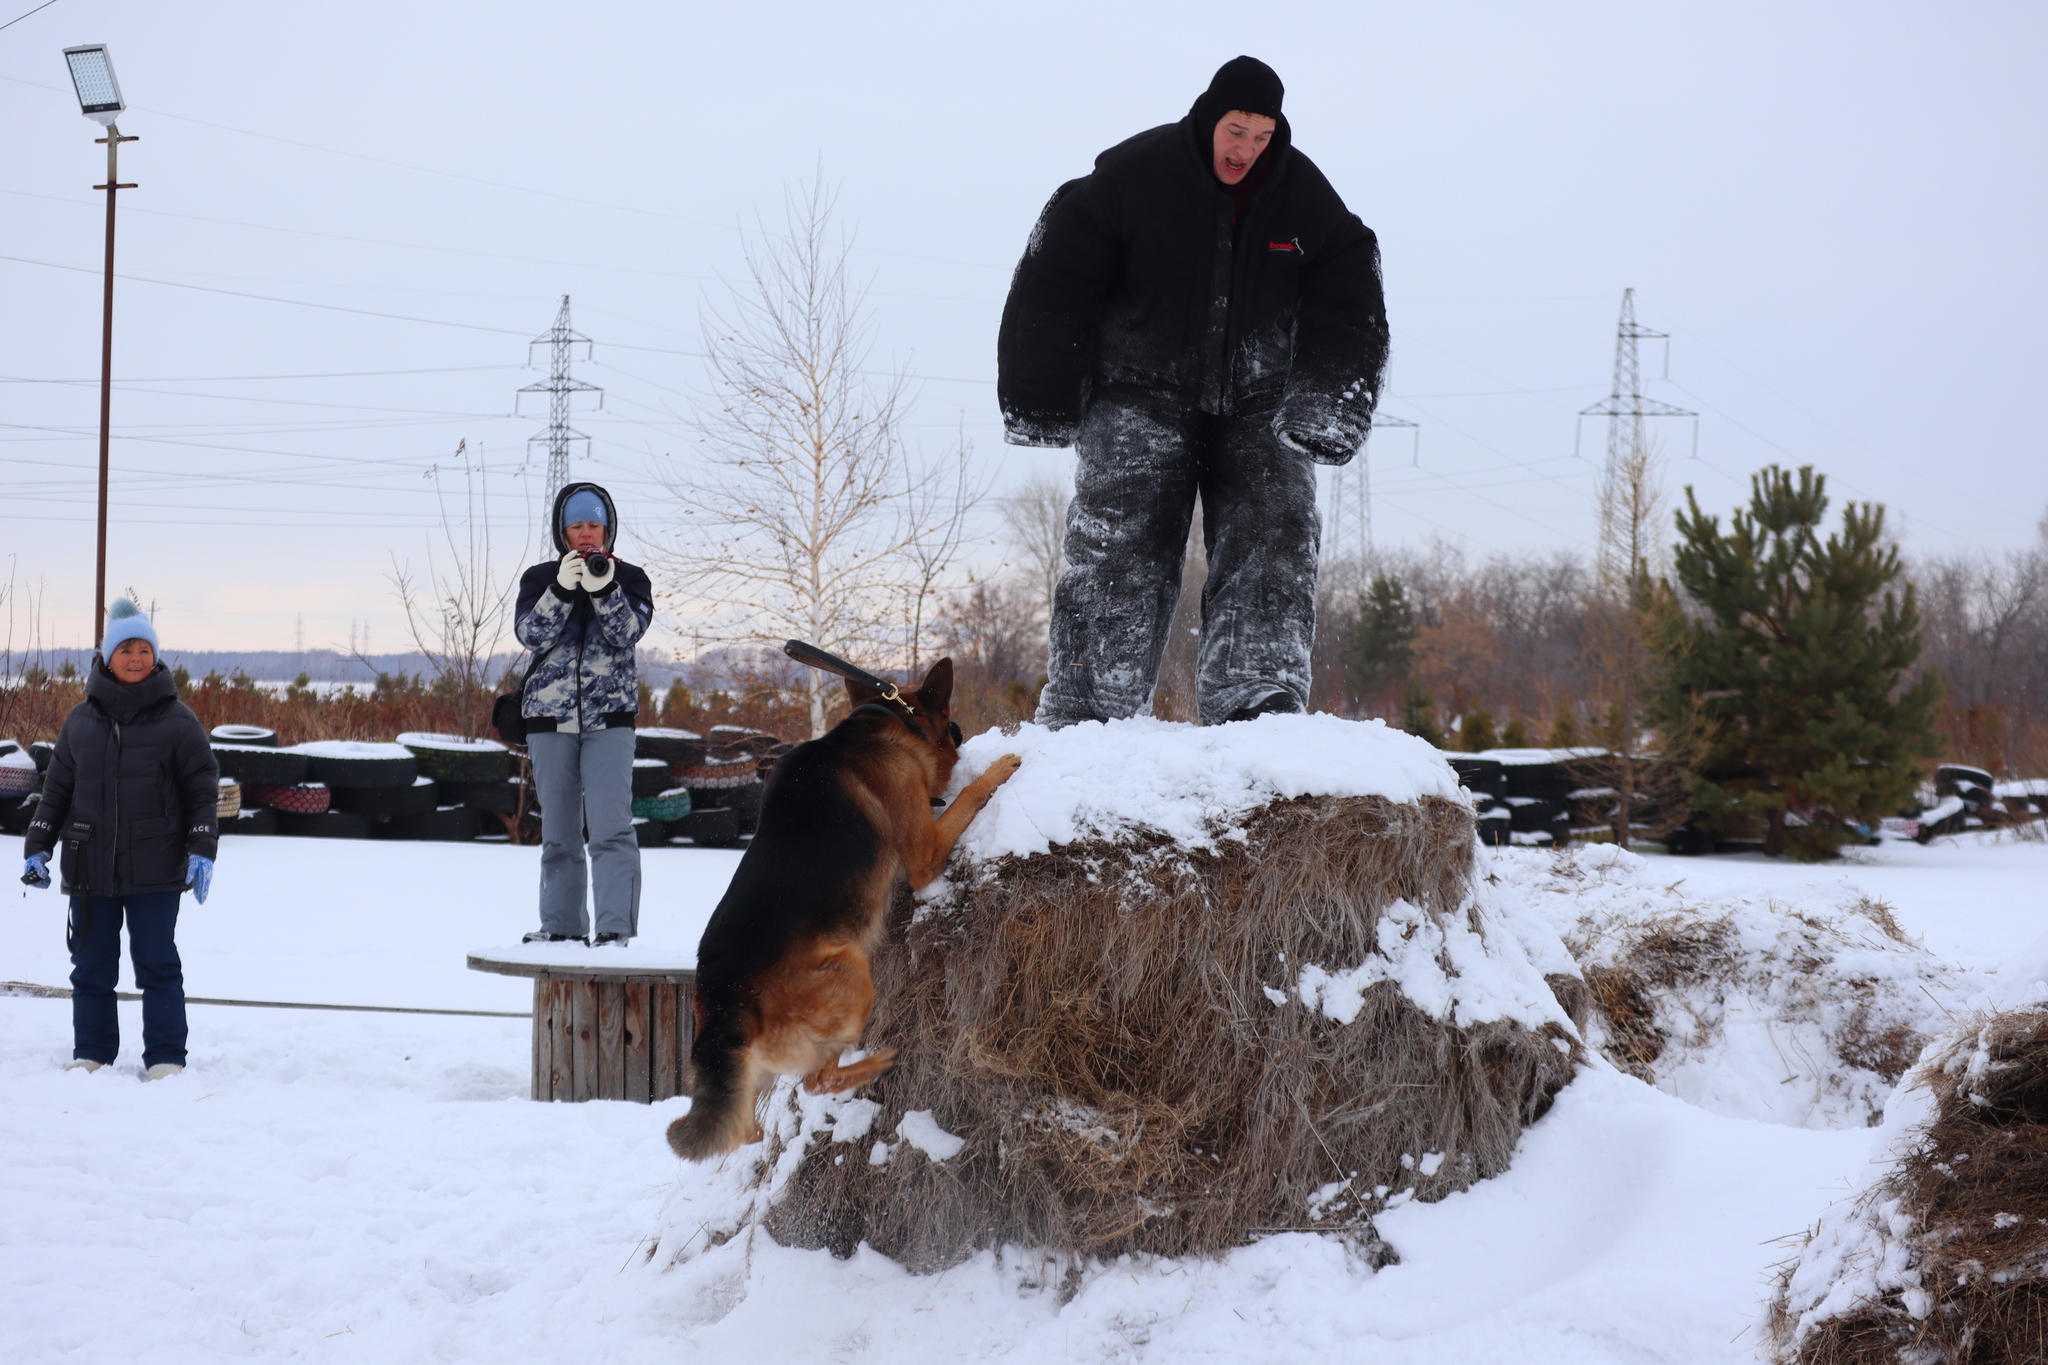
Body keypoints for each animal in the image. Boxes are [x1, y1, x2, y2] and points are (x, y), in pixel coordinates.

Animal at [667, 654, 1019, 1162]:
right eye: (953, 730)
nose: (961, 737)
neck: (892, 720)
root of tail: (723, 999)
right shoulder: (925, 854)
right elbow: (969, 795)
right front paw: (999, 766)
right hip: (852, 969)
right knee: (816, 1081)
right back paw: (881, 1062)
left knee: (748, 1129)